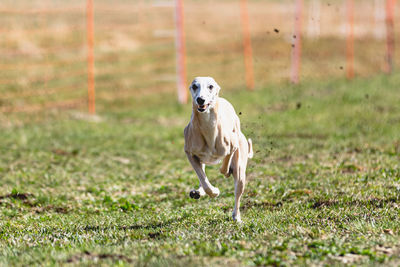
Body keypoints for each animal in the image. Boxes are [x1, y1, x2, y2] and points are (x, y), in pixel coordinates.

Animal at [184, 77, 253, 222]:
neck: (208, 127)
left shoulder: (233, 145)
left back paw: (236, 216)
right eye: (194, 86)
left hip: (240, 171)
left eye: (210, 86)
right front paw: (213, 192)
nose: (200, 99)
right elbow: (203, 179)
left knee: (238, 192)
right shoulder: (190, 153)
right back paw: (198, 192)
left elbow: (225, 163)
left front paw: (226, 171)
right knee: (202, 175)